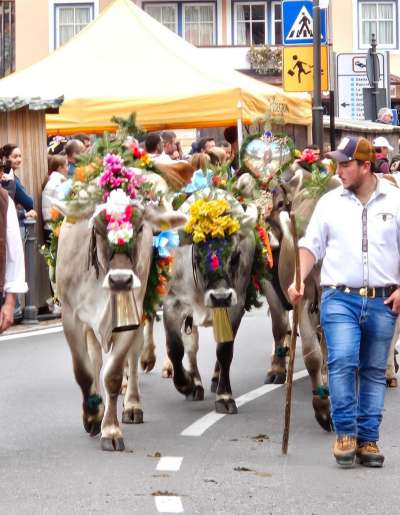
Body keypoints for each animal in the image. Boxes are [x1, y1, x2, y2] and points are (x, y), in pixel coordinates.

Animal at [55, 191, 187, 450]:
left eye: (140, 227)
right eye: (96, 228)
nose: (120, 280)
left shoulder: (130, 316)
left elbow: (114, 374)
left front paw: (111, 430)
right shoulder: (71, 316)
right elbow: (84, 371)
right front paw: (92, 416)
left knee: (134, 356)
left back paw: (134, 402)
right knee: (96, 360)